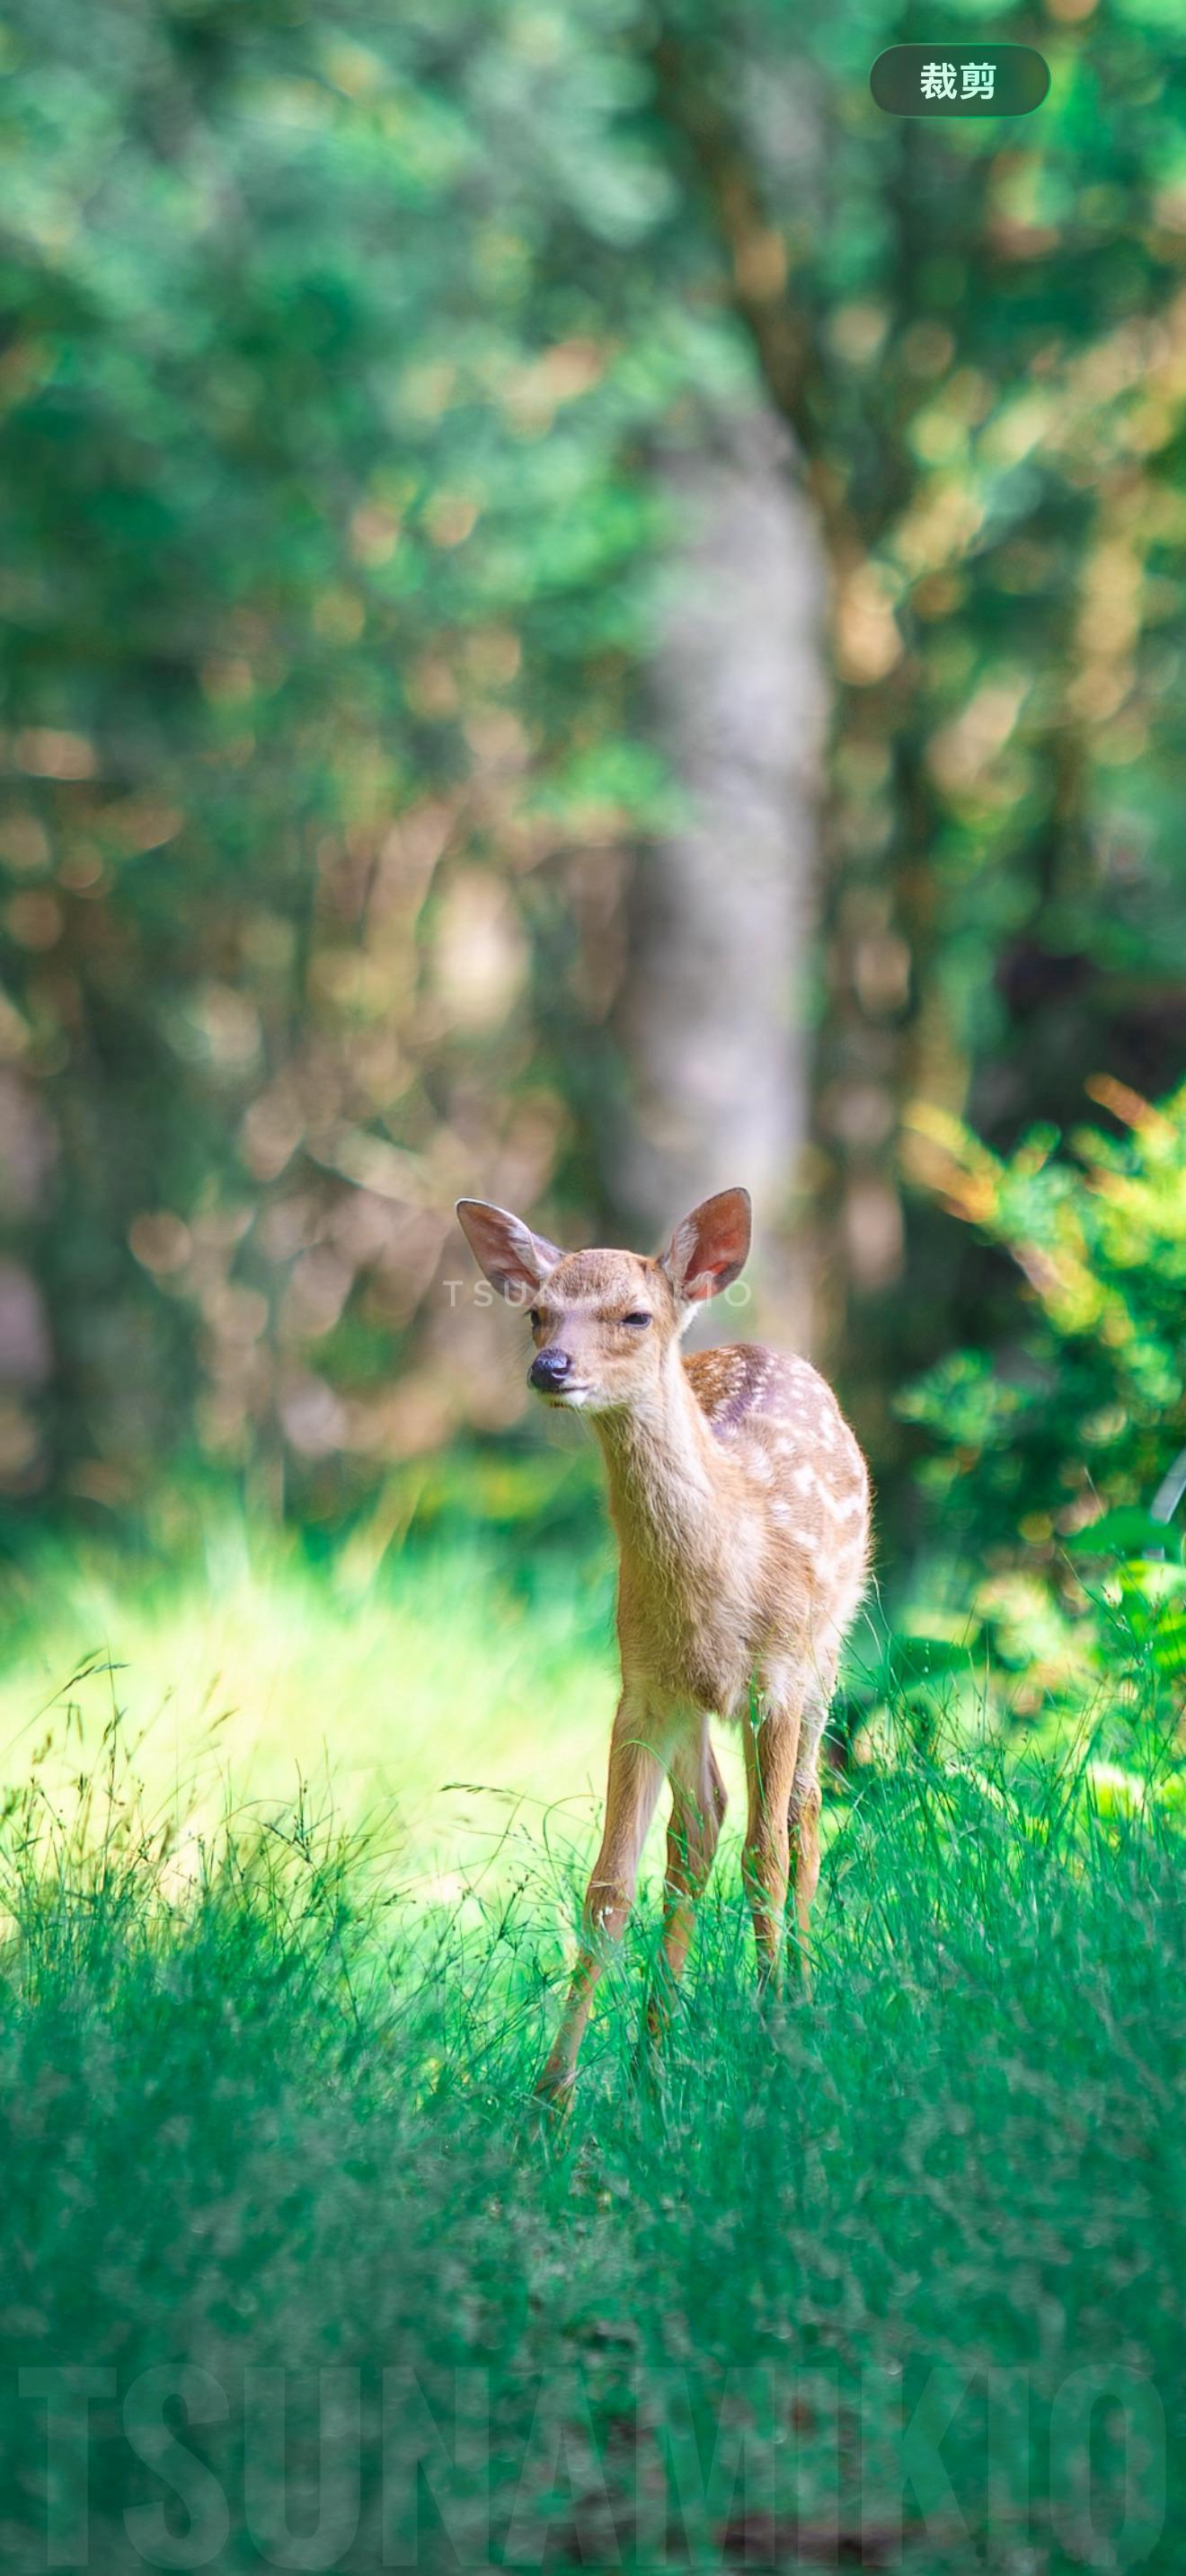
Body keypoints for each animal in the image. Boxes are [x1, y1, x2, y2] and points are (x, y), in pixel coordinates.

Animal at [455, 1187, 871, 2108]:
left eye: (634, 1315)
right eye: (537, 1313)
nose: (551, 1368)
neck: (725, 1568)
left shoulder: (776, 1678)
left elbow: (767, 1857)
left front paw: (776, 2045)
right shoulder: (641, 1689)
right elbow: (609, 1886)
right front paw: (549, 2100)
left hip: (827, 1653)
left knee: (801, 1816)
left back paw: (802, 1996)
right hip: (688, 1700)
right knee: (699, 1824)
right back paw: (652, 2061)